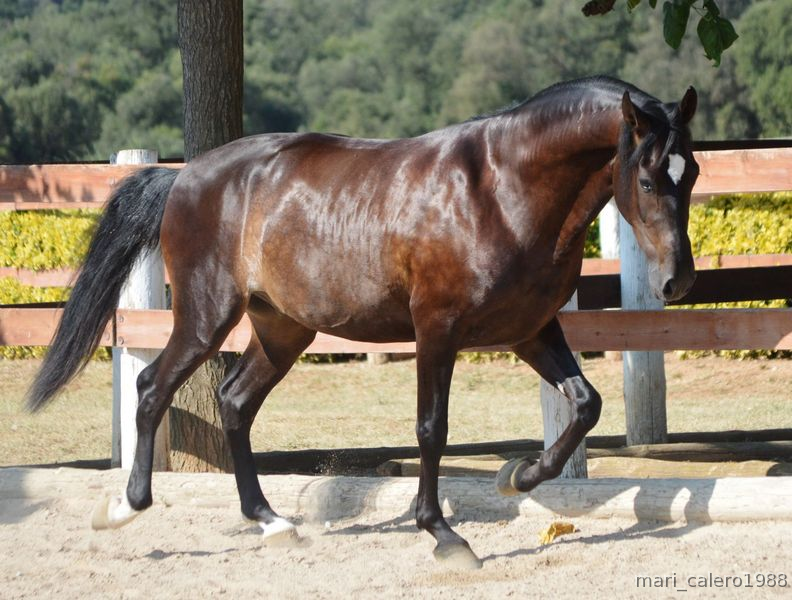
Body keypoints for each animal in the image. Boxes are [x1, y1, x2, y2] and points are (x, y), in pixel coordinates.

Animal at [28, 76, 698, 570]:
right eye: (646, 178)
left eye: (689, 174)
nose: (677, 282)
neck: (500, 190)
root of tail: (184, 175)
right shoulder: (437, 330)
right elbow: (432, 429)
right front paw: (445, 537)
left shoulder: (529, 330)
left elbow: (585, 404)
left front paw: (520, 476)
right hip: (205, 316)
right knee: (152, 388)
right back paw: (124, 508)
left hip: (282, 331)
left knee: (234, 402)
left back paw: (272, 523)